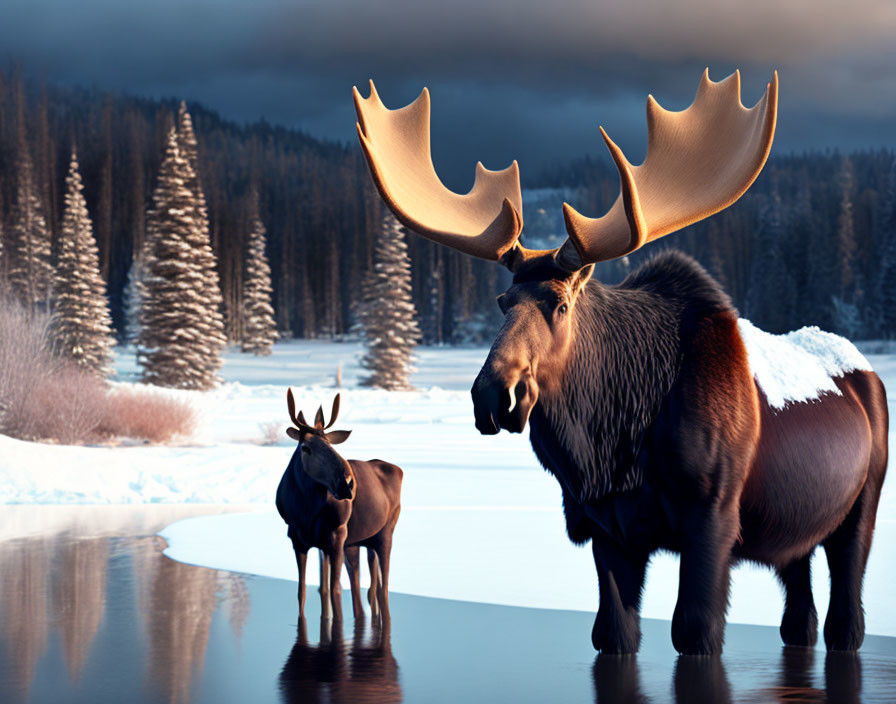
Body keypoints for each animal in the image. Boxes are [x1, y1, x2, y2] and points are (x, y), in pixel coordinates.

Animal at [356, 71, 888, 656]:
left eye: (561, 304)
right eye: (502, 302)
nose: (494, 394)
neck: (611, 447)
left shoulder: (712, 514)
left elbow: (694, 630)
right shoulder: (605, 525)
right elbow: (611, 632)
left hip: (863, 503)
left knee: (846, 609)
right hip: (793, 531)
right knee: (799, 608)